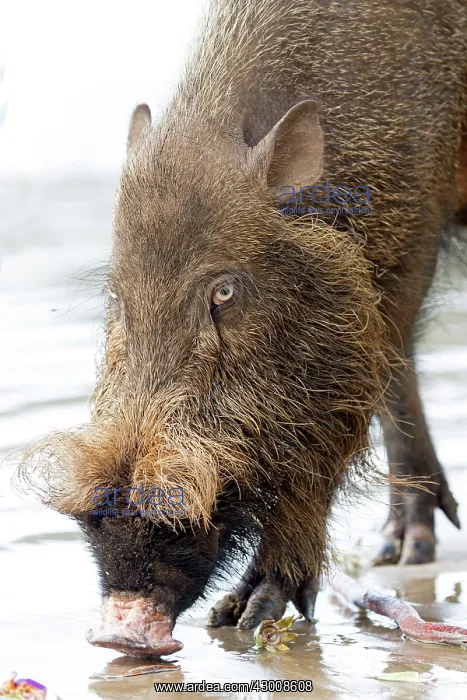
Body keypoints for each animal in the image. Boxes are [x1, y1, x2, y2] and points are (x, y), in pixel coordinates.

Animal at [19, 0, 467, 656]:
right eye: (117, 298)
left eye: (224, 292)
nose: (118, 631)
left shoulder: (407, 255)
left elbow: (351, 413)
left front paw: (250, 613)